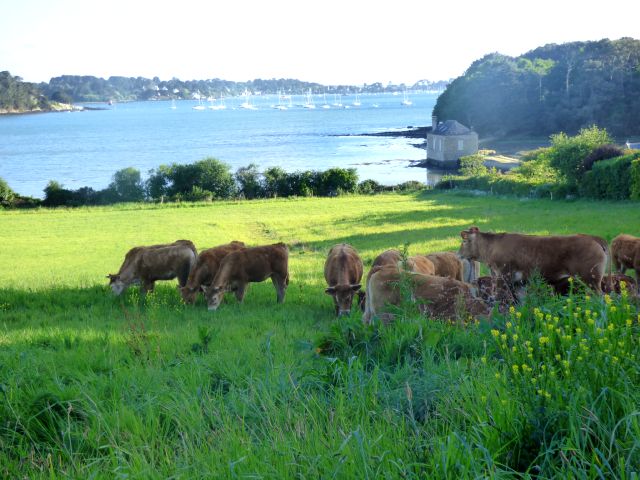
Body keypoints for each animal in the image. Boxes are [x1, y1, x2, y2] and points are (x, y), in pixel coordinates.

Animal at [460, 227, 604, 294]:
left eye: (464, 241)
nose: (458, 254)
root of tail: (592, 238)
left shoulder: (504, 277)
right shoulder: (518, 282)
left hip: (591, 280)